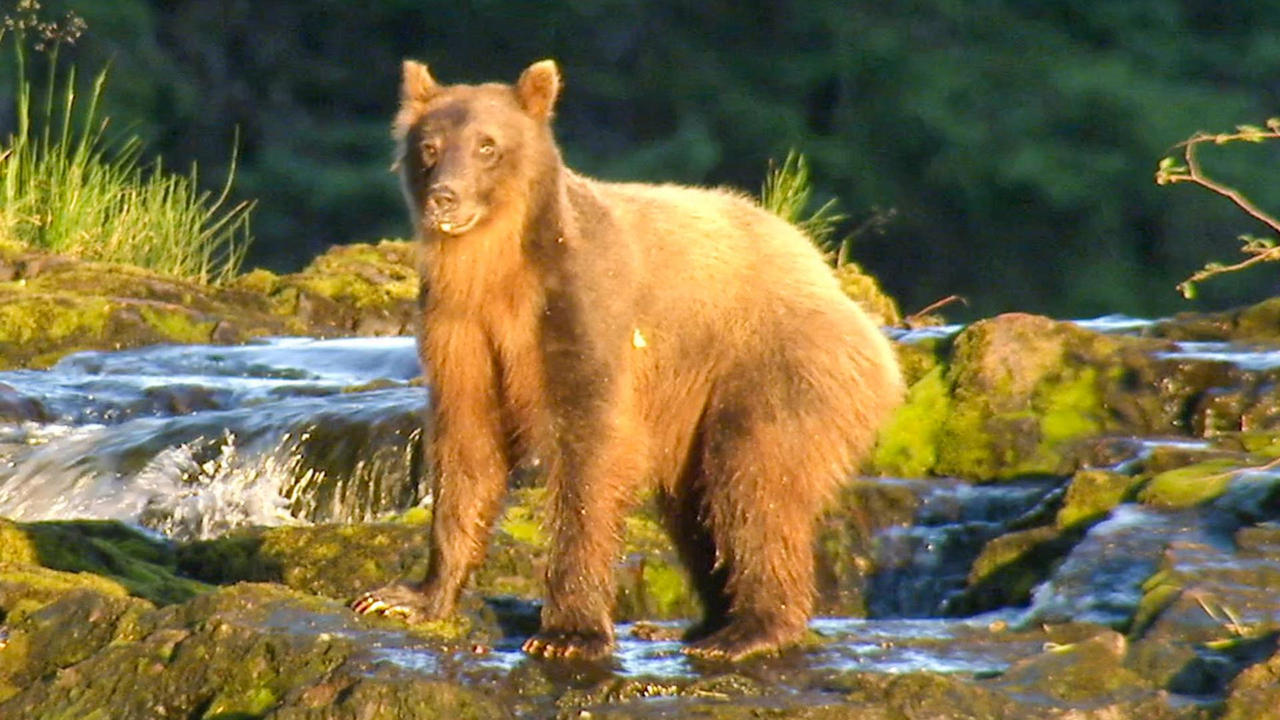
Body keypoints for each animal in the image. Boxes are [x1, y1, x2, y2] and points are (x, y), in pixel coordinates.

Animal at [350, 58, 906, 661]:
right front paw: (407, 597)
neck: (495, 270)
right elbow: (468, 446)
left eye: (487, 145)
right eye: (429, 146)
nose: (445, 197)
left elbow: (591, 451)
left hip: (772, 364)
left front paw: (568, 632)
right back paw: (704, 622)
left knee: (753, 482)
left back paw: (748, 629)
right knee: (696, 507)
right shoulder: (462, 329)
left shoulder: (582, 308)